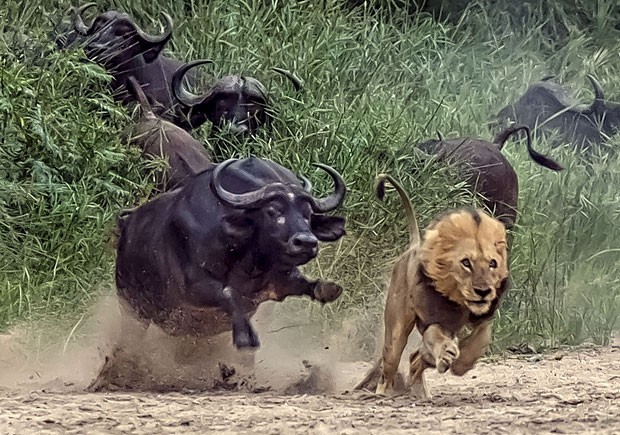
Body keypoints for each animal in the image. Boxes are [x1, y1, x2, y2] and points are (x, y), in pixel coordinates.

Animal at [114, 157, 346, 350]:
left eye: (307, 214)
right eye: (272, 211)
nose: (306, 242)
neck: (248, 263)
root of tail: (126, 225)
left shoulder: (278, 282)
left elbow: (303, 283)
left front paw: (327, 289)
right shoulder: (193, 287)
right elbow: (228, 292)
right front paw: (244, 337)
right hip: (133, 310)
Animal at [356, 174, 512, 398]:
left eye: (493, 263)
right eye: (466, 263)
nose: (483, 292)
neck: (461, 304)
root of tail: (413, 246)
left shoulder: (483, 319)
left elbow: (481, 338)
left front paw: (461, 362)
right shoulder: (433, 320)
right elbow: (436, 335)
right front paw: (447, 354)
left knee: (414, 359)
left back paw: (423, 391)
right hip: (396, 332)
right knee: (389, 368)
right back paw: (384, 393)